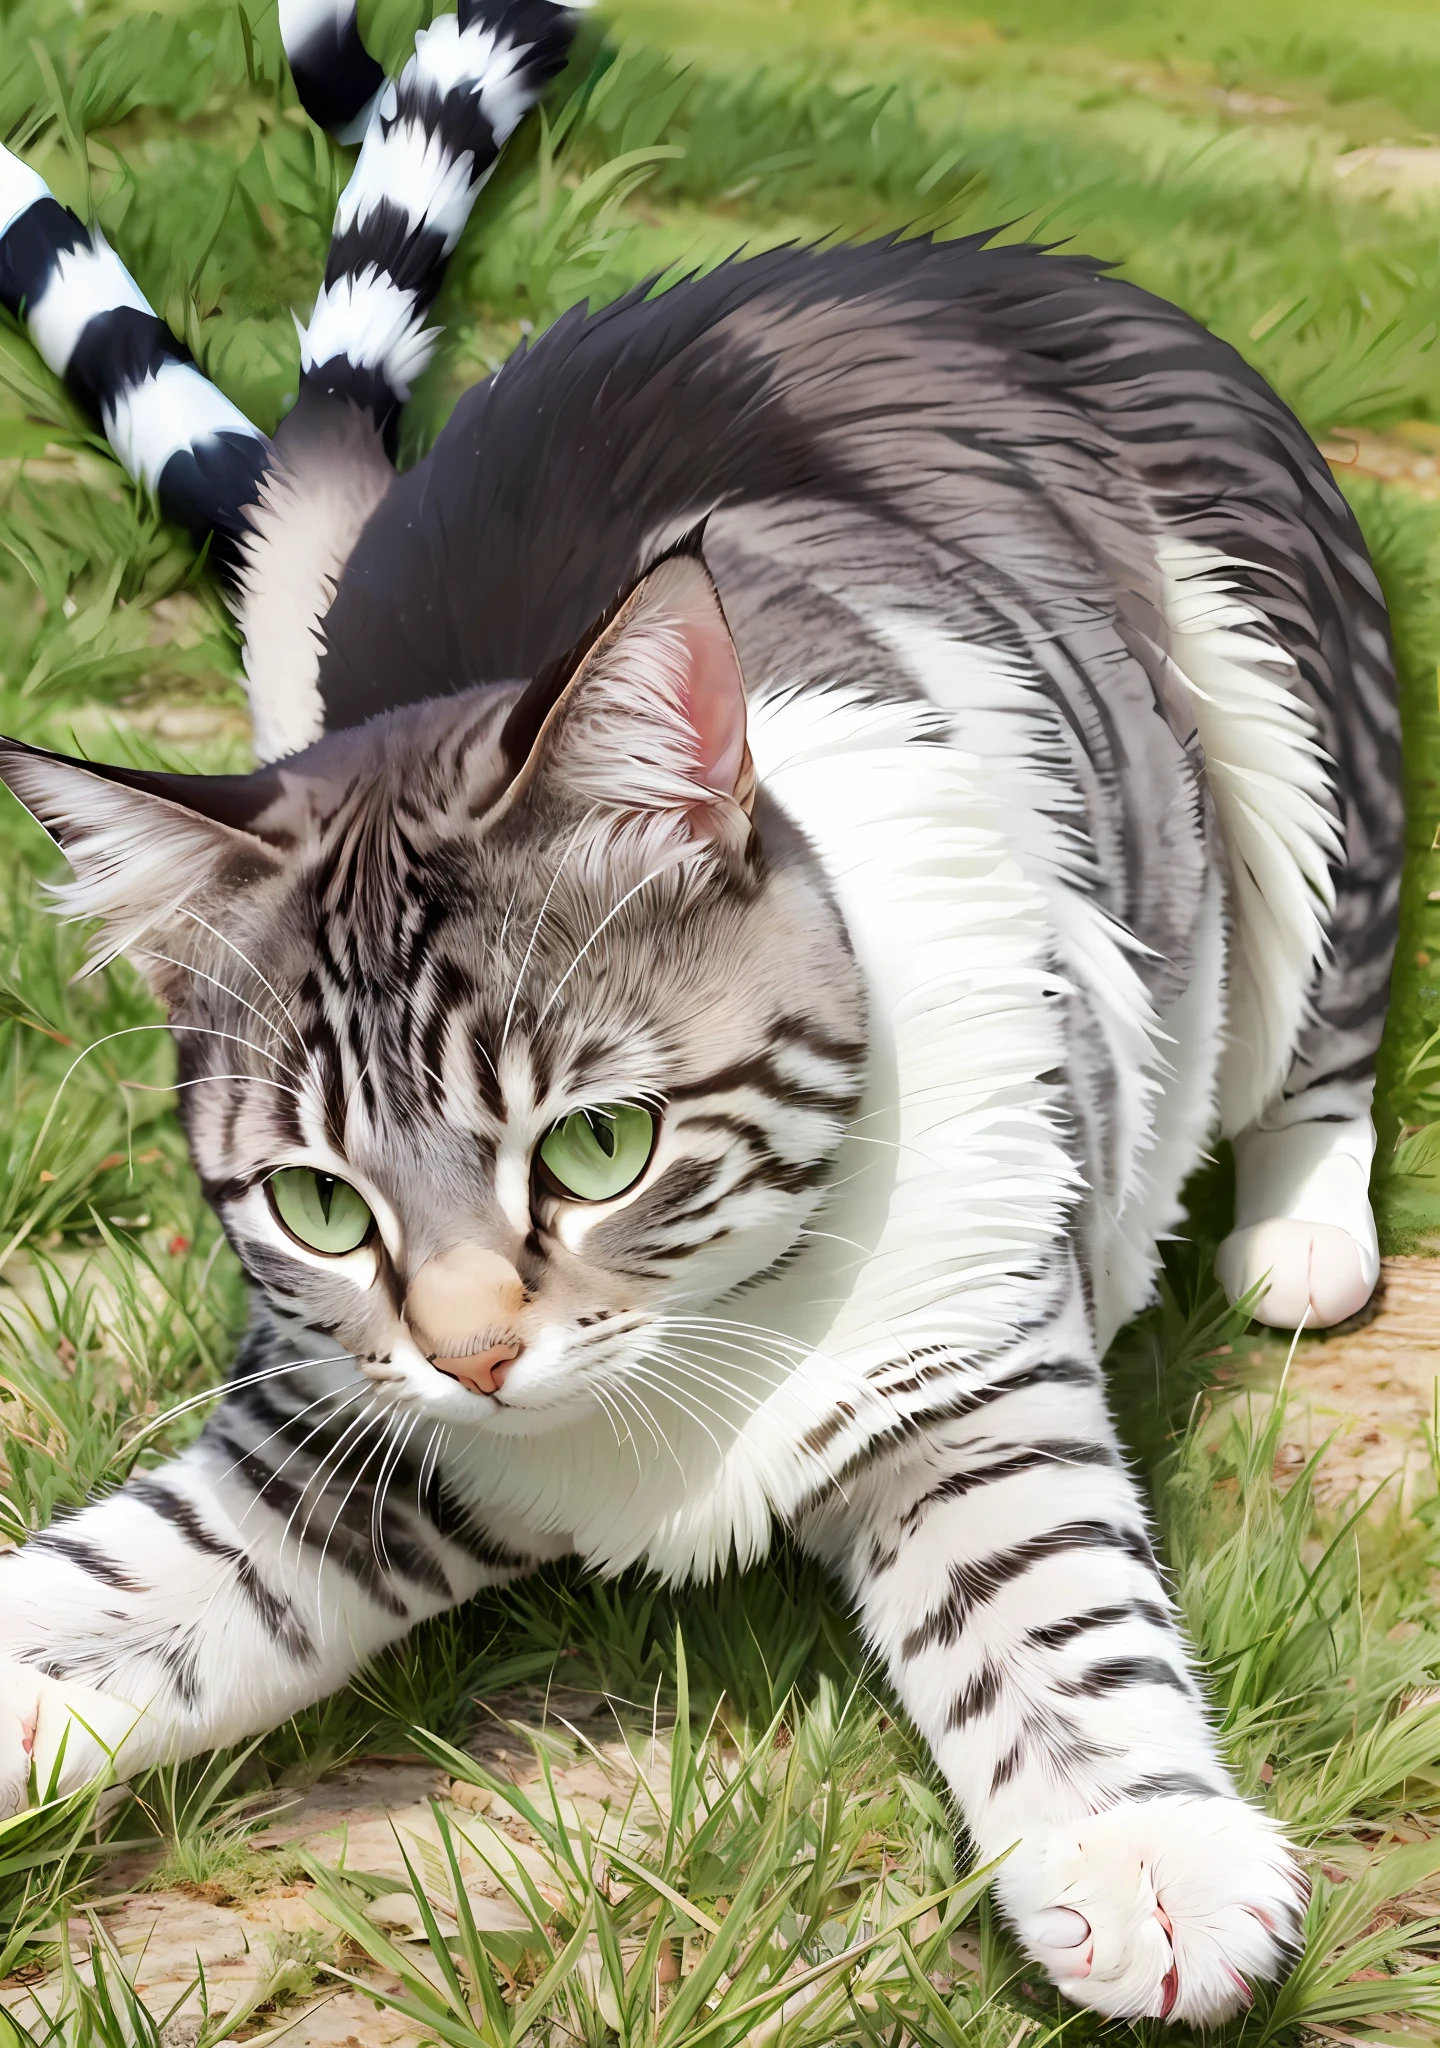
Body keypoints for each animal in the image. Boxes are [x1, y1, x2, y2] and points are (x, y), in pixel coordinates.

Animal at [0, 0, 1409, 2015]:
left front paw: (1149, 1853)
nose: (474, 1358)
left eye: (599, 1146)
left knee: (1322, 1019)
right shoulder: (324, 1448)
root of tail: (950, 254)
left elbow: (1042, 1589)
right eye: (321, 1204)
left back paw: (1301, 1228)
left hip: (1290, 722)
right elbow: (87, 1597)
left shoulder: (976, 1345)